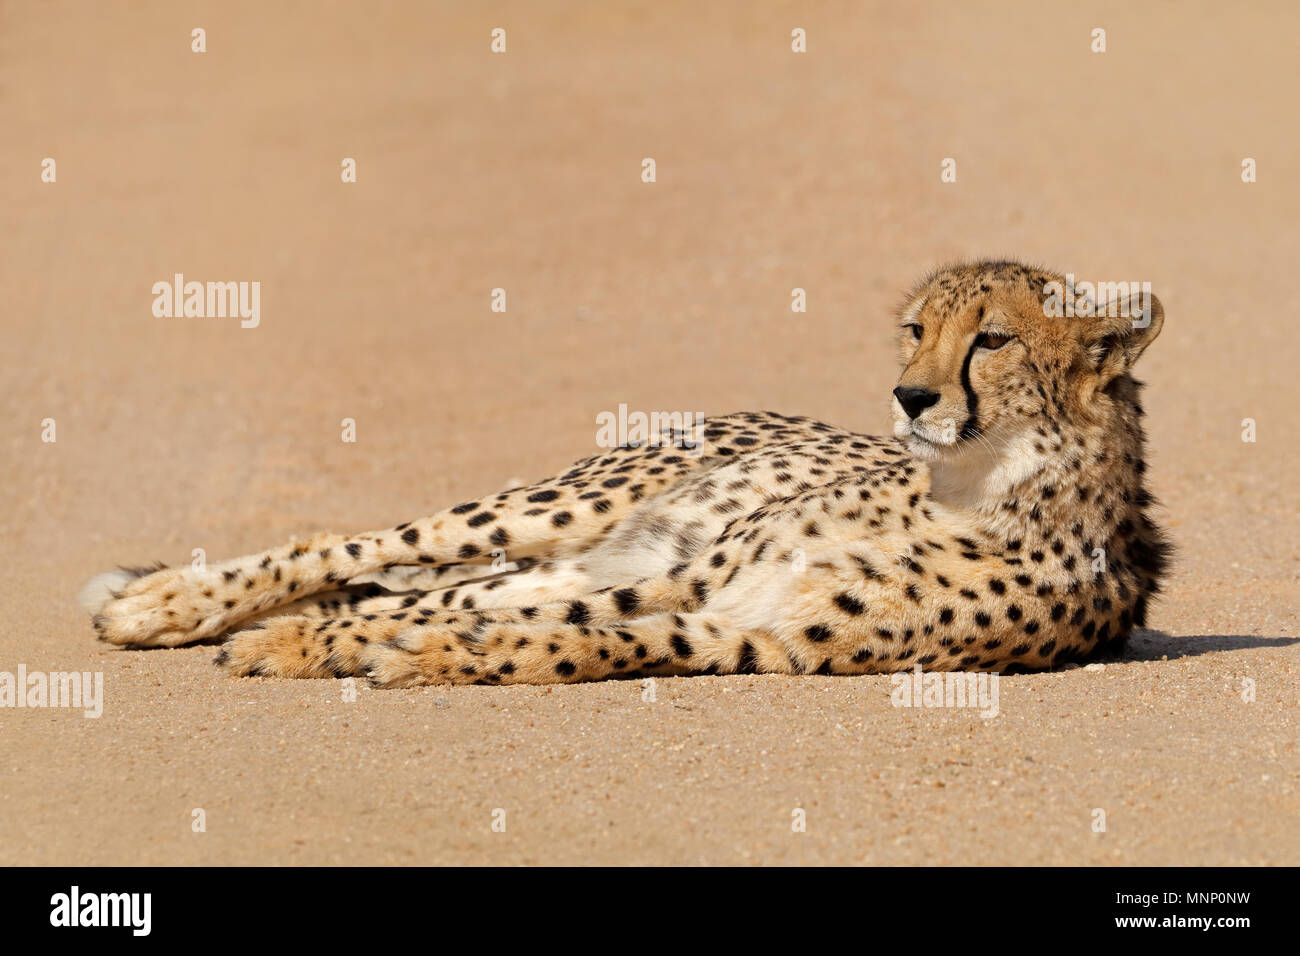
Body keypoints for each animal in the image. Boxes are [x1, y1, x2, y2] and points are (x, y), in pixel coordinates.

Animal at [83, 257, 1180, 686]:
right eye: (918, 330)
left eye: (993, 339)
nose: (910, 397)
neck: (971, 487)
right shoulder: (704, 574)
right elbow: (424, 608)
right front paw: (305, 643)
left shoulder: (753, 632)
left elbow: (575, 639)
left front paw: (435, 655)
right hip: (553, 508)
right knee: (357, 549)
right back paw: (162, 604)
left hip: (578, 547)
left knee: (430, 587)